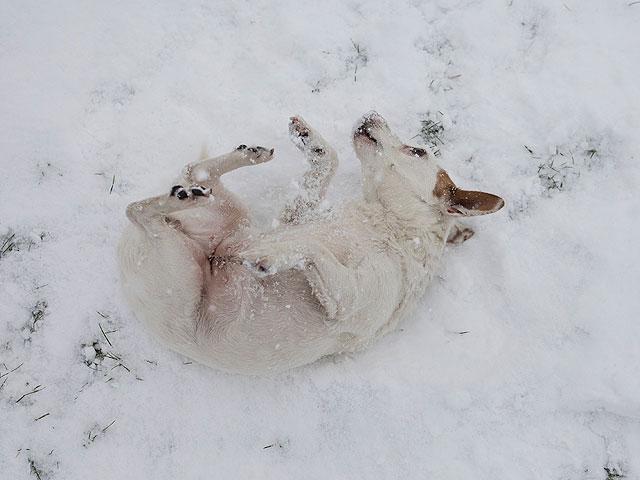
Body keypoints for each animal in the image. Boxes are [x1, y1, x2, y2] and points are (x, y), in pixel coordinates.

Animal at [117, 113, 502, 376]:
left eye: (417, 150)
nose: (371, 113)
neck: (388, 224)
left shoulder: (348, 301)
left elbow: (315, 251)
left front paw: (267, 256)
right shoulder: (295, 218)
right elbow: (329, 163)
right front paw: (310, 139)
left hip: (180, 282)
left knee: (140, 211)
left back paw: (183, 198)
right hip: (227, 217)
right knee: (192, 173)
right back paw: (245, 157)